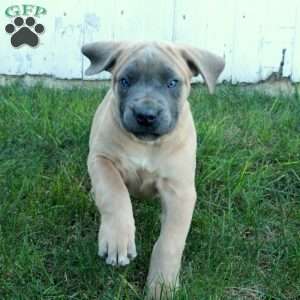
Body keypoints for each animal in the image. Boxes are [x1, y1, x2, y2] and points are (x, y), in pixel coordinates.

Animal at [81, 41, 224, 298]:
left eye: (172, 83)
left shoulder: (180, 192)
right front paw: (118, 238)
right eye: (125, 81)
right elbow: (114, 193)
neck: (146, 145)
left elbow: (170, 242)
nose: (145, 115)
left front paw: (162, 286)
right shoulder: (101, 159)